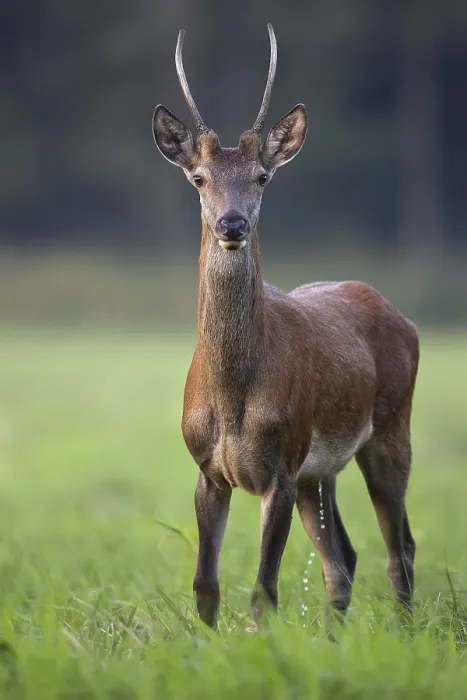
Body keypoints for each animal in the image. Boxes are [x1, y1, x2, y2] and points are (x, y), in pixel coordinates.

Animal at [152, 24, 419, 630]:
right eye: (198, 177)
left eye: (262, 176)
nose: (232, 223)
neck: (233, 399)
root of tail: (400, 314)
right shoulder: (208, 467)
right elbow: (205, 585)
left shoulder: (282, 463)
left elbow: (264, 589)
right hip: (319, 473)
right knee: (344, 557)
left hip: (389, 431)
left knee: (399, 549)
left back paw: (405, 632)